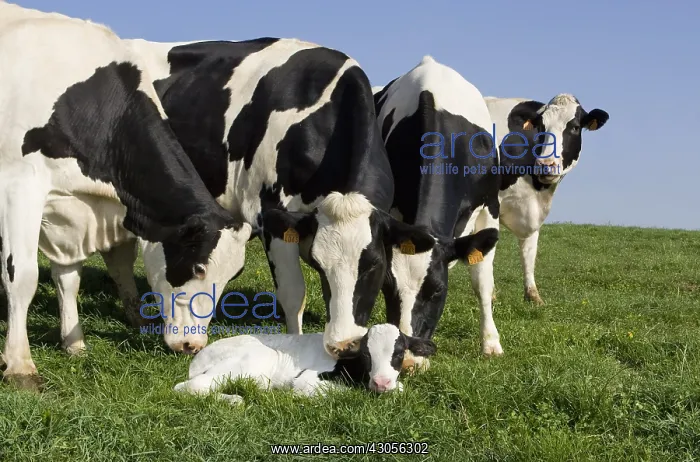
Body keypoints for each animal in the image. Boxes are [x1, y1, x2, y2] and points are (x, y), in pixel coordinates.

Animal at [0, 3, 252, 389]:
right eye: (197, 266)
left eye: (233, 275)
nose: (192, 345)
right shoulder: (19, 186)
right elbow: (22, 276)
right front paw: (19, 365)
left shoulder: (72, 211)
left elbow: (69, 279)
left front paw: (75, 345)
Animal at [173, 323, 438, 403]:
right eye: (366, 355)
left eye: (399, 353)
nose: (382, 383)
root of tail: (198, 357)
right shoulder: (306, 380)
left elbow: (400, 389)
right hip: (249, 359)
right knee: (191, 386)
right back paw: (235, 401)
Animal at [372, 56, 503, 367]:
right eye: (387, 288)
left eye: (438, 291)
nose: (408, 361)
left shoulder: (490, 207)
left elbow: (482, 281)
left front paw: (491, 343)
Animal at [484, 95, 608, 305]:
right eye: (541, 127)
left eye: (575, 127)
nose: (545, 165)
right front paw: (491, 294)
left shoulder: (532, 208)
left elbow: (529, 251)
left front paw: (533, 296)